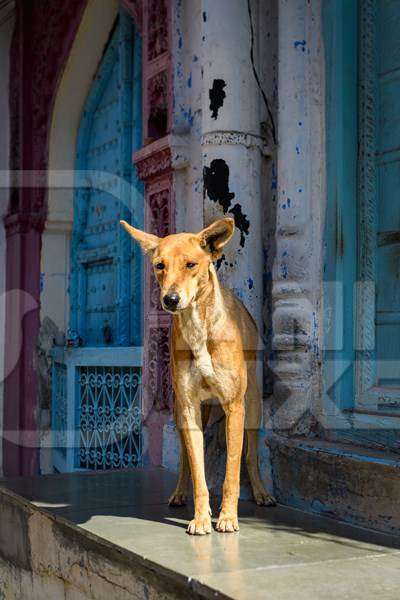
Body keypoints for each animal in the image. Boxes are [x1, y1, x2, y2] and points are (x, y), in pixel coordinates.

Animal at [119, 217, 276, 536]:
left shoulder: (234, 408)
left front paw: (227, 517)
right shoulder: (189, 407)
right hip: (182, 413)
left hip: (252, 408)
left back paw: (261, 492)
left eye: (191, 264)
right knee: (185, 460)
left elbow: (232, 471)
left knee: (250, 455)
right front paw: (202, 517)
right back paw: (180, 494)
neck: (198, 328)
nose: (170, 299)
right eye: (159, 265)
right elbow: (197, 470)